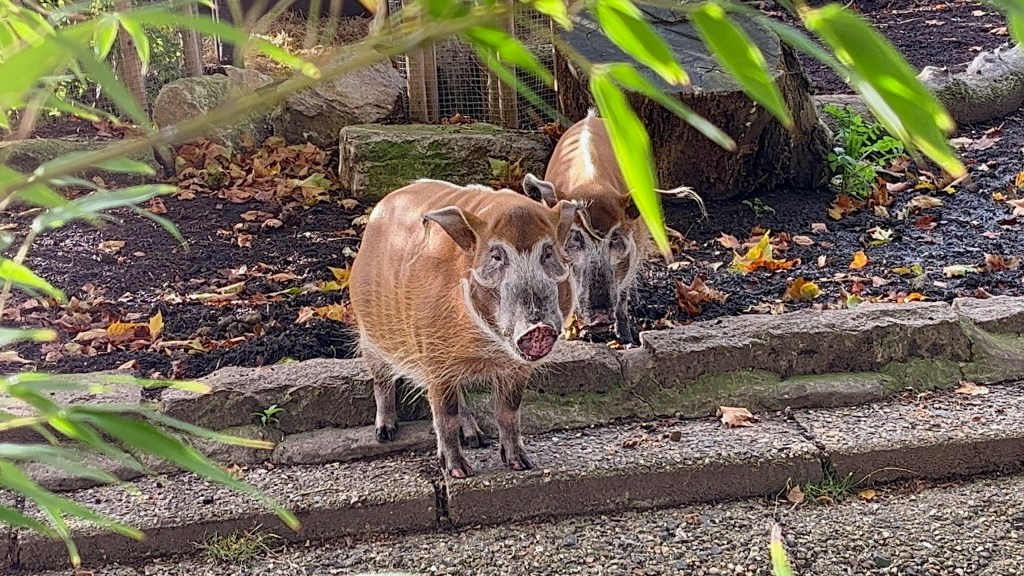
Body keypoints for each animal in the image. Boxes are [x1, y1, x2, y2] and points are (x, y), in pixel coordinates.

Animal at [348, 177, 579, 478]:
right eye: (496, 256)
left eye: (548, 252)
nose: (538, 327)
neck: (486, 349)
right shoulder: (434, 360)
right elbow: (444, 417)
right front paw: (460, 473)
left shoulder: (516, 368)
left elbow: (508, 411)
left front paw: (522, 465)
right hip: (370, 337)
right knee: (382, 380)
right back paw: (385, 434)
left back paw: (476, 439)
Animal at [524, 108, 704, 345]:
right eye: (575, 237)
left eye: (615, 237)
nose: (600, 317)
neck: (590, 183)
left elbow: (622, 295)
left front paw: (628, 341)